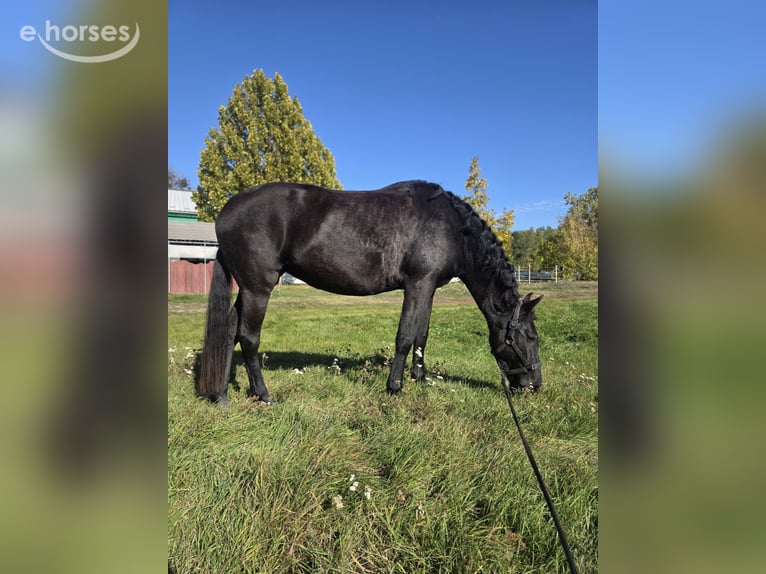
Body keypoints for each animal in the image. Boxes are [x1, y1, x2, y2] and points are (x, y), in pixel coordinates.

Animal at [197, 180, 543, 405]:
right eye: (530, 336)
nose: (535, 386)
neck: (451, 227)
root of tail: (226, 212)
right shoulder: (417, 283)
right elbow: (405, 335)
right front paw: (395, 387)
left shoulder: (429, 287)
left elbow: (422, 335)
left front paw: (419, 378)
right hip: (258, 288)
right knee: (248, 337)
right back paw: (263, 394)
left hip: (247, 289)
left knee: (229, 329)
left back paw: (222, 395)